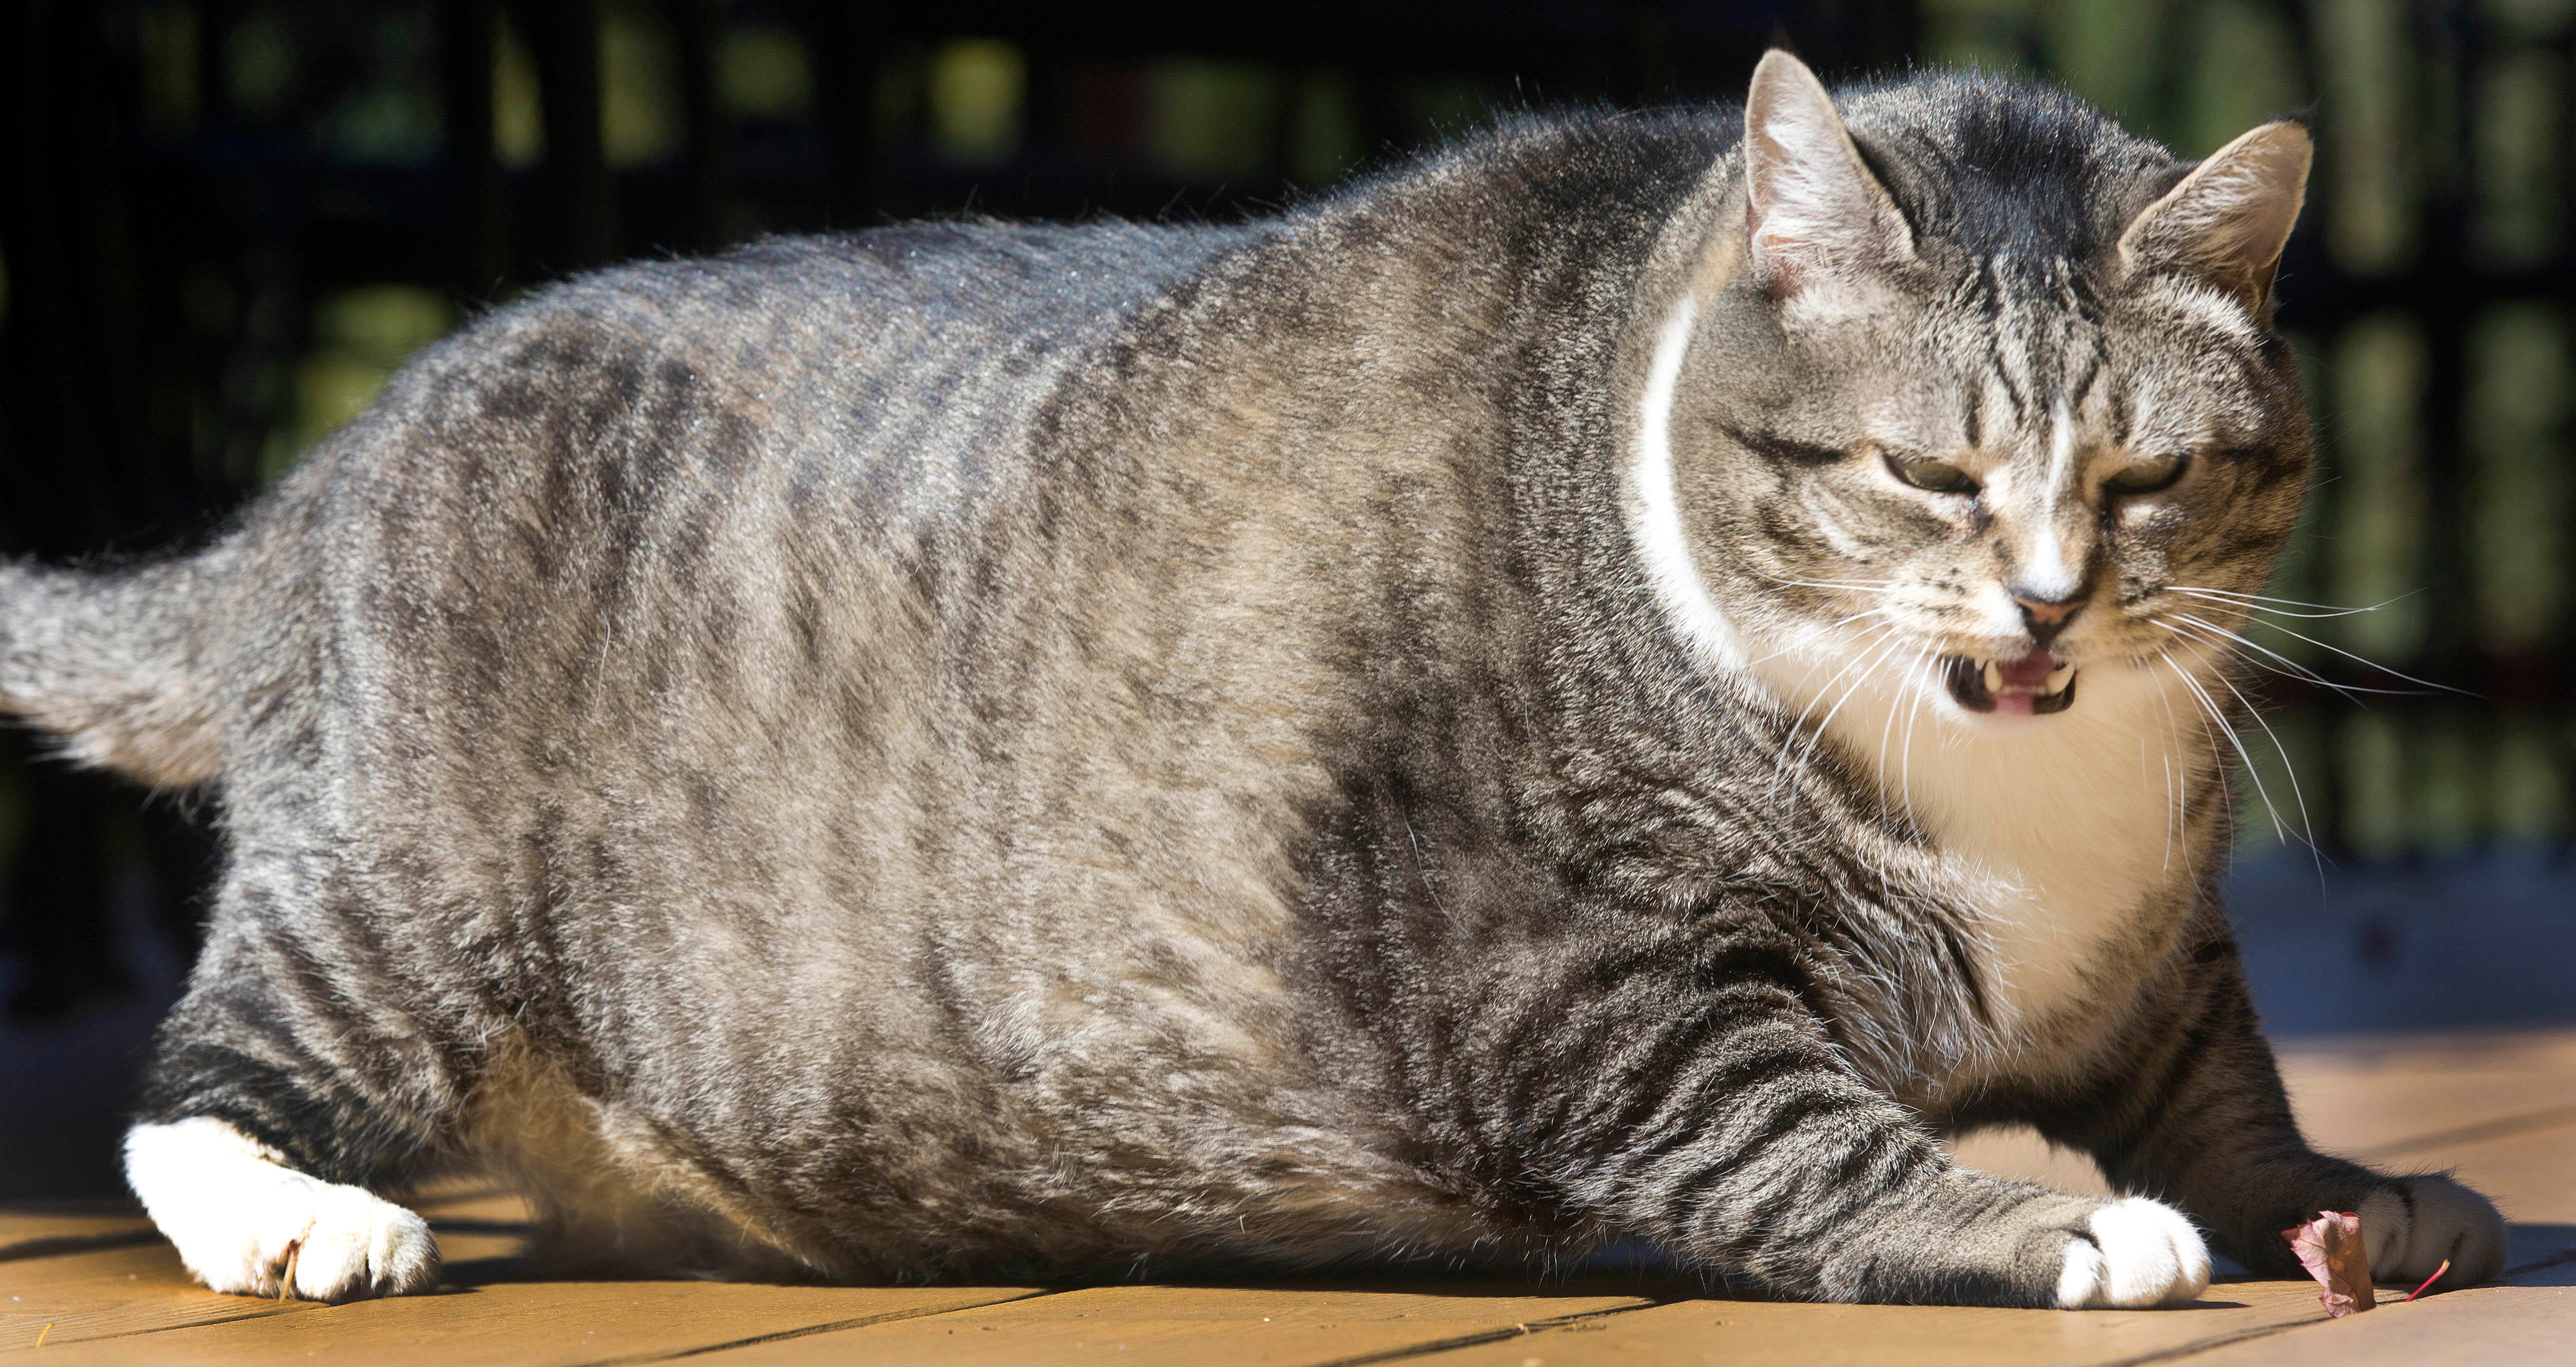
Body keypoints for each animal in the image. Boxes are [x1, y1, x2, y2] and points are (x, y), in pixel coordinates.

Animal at [0, 53, 2504, 1313]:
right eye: (1927, 471)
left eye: (2148, 478)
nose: (2052, 611)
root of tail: (338, 463)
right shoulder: (1585, 992)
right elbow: (1806, 1130)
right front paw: (2046, 1222)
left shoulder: (2146, 954)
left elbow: (2223, 1089)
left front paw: (2354, 1193)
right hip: (395, 905)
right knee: (194, 1083)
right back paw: (300, 1216)